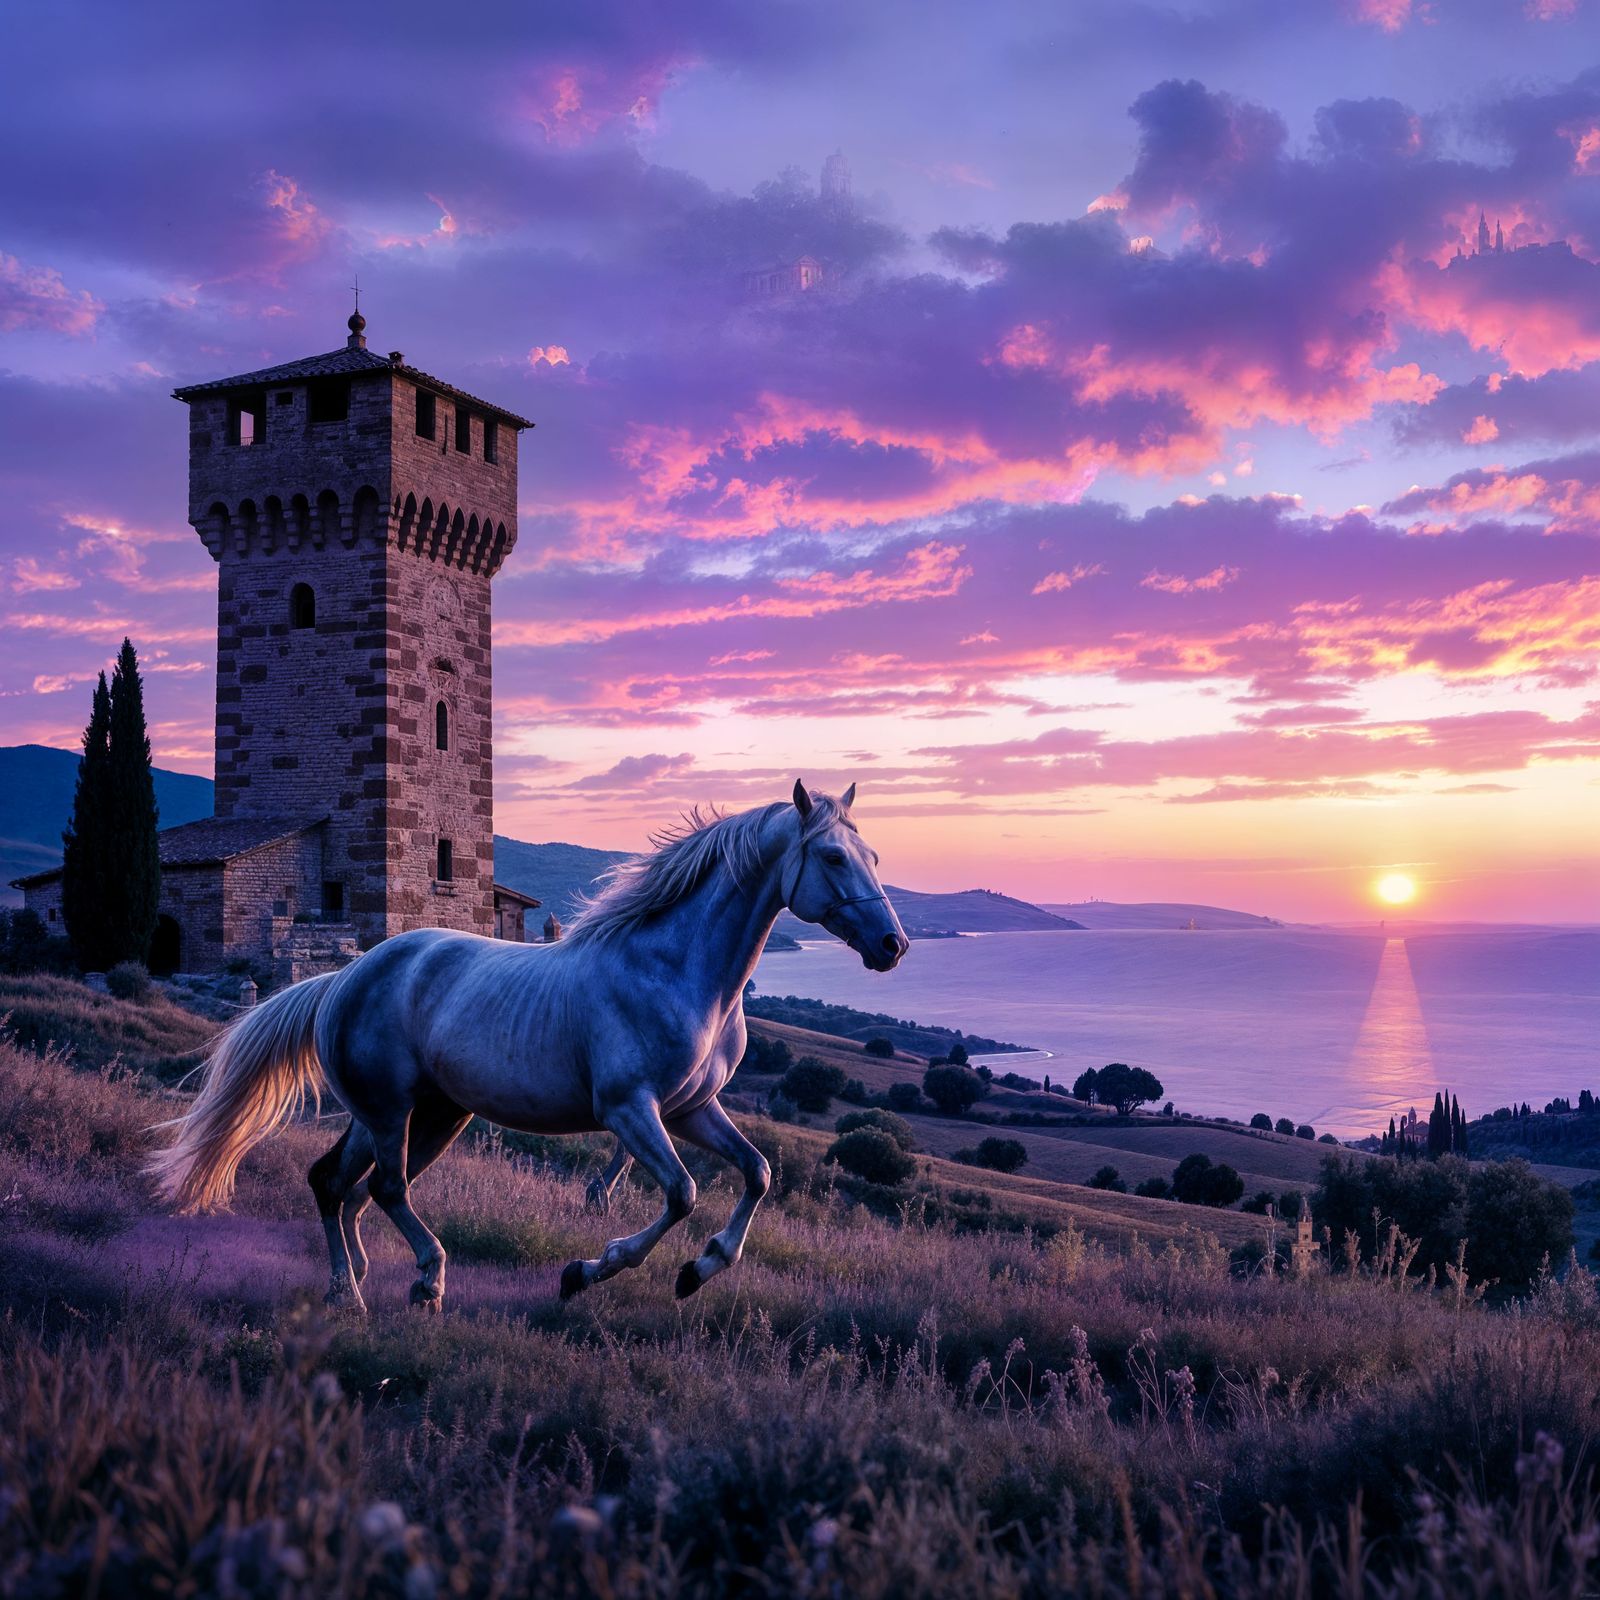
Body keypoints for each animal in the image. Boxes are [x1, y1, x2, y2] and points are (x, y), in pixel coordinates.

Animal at [147, 782, 908, 1311]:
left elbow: (757, 1173)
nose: (892, 945)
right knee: (385, 1187)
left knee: (338, 1183)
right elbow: (682, 1192)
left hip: (423, 1115)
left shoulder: (693, 1109)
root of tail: (343, 976)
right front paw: (587, 1272)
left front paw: (699, 1270)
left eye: (874, 856)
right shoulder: (630, 1110)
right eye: (833, 856)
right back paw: (425, 1281)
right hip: (391, 1111)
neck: (675, 971)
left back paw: (350, 1289)